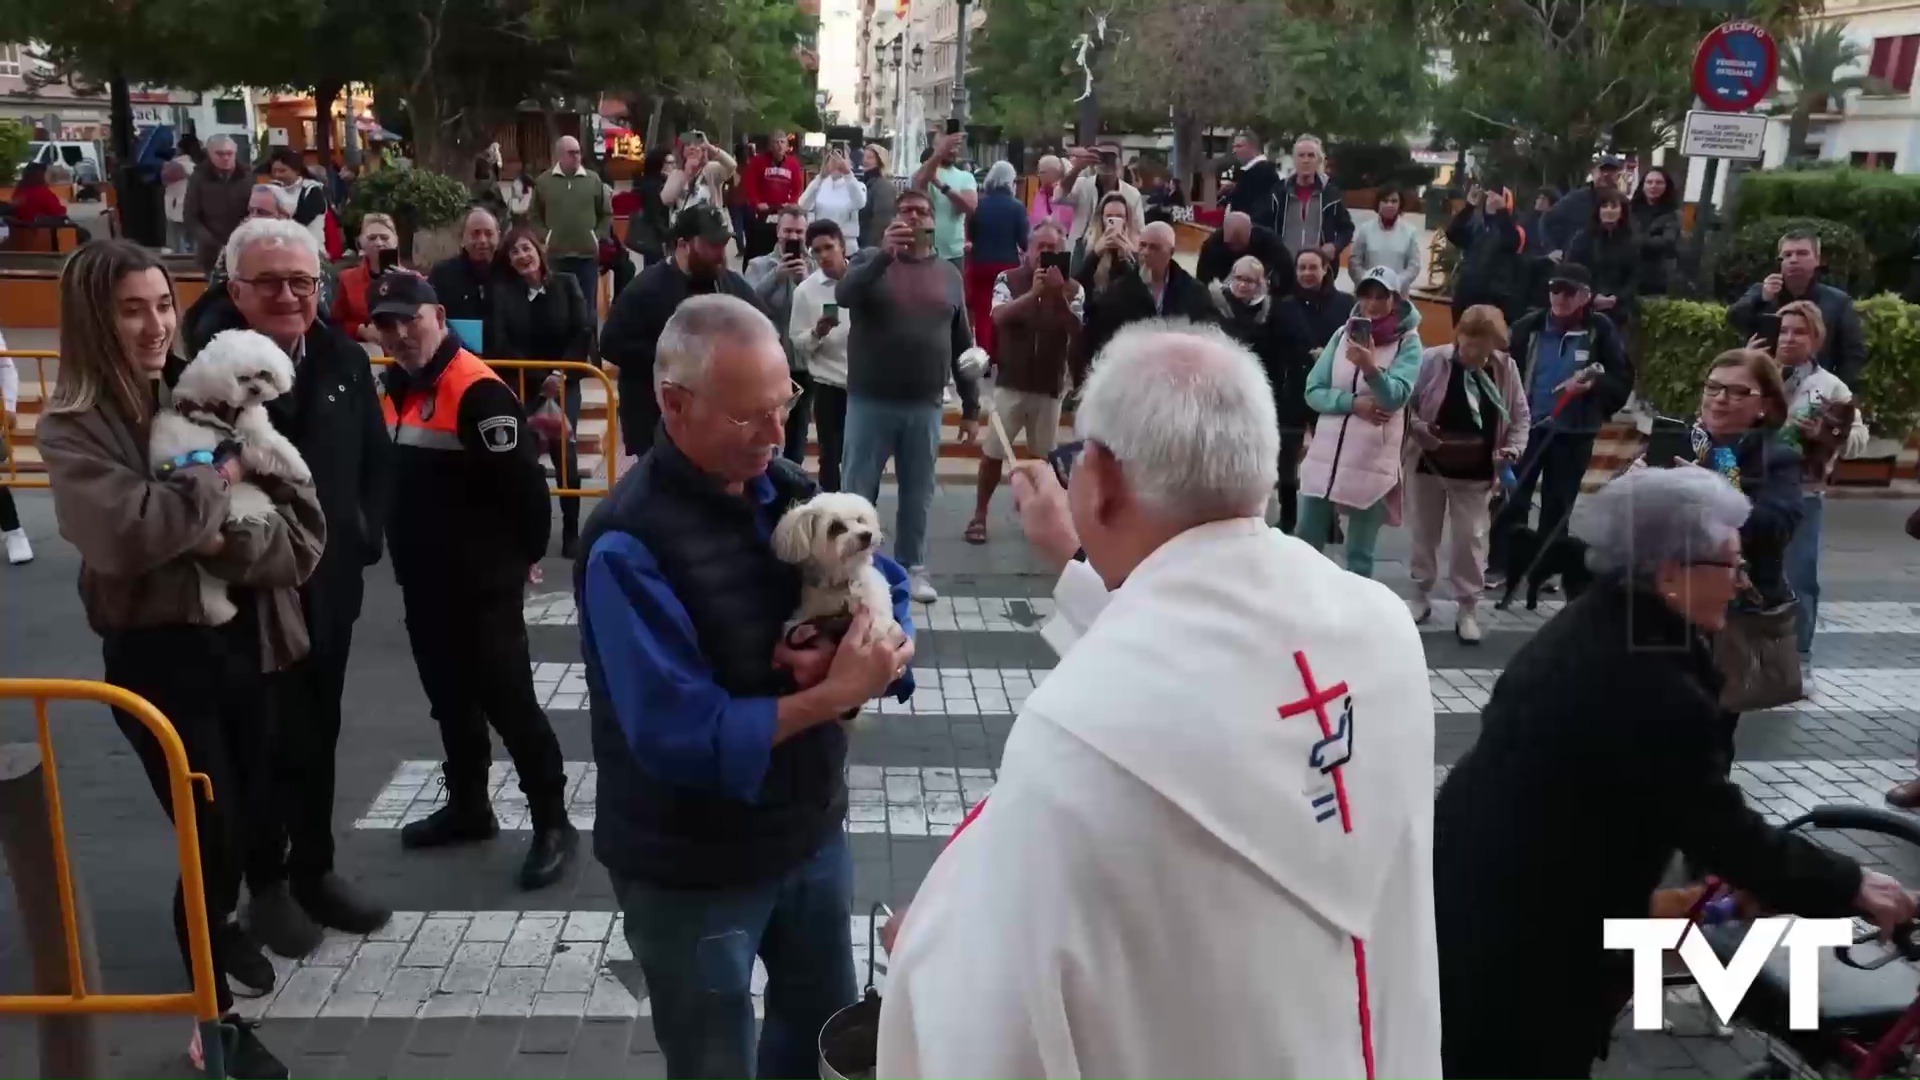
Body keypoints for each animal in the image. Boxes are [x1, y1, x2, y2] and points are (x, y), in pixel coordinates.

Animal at [149, 328, 311, 622]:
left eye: (264, 374)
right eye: (242, 378)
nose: (256, 390)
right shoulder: (250, 435)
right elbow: (276, 448)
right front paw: (300, 469)